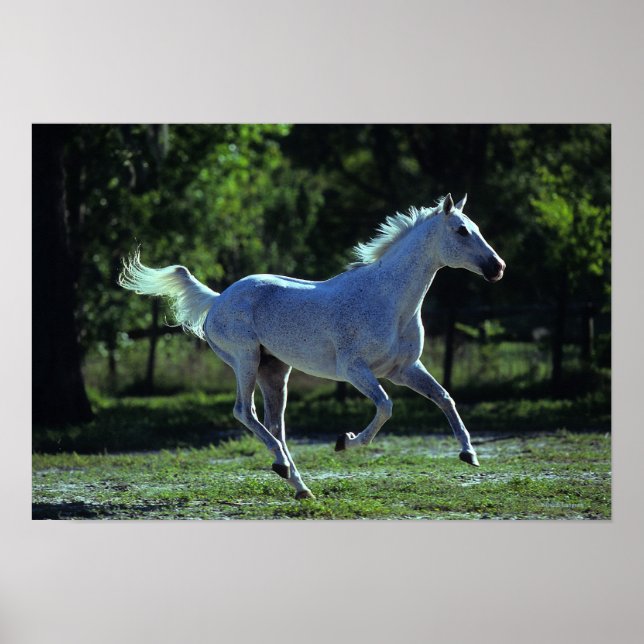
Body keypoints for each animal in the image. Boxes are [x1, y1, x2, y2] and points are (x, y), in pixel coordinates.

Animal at [119, 193, 505, 499]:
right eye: (461, 230)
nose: (498, 267)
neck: (389, 299)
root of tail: (217, 300)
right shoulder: (355, 370)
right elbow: (386, 406)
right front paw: (345, 441)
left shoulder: (403, 369)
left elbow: (444, 398)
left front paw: (469, 454)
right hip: (245, 359)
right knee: (245, 412)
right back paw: (284, 469)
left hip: (274, 372)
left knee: (275, 425)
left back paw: (299, 485)